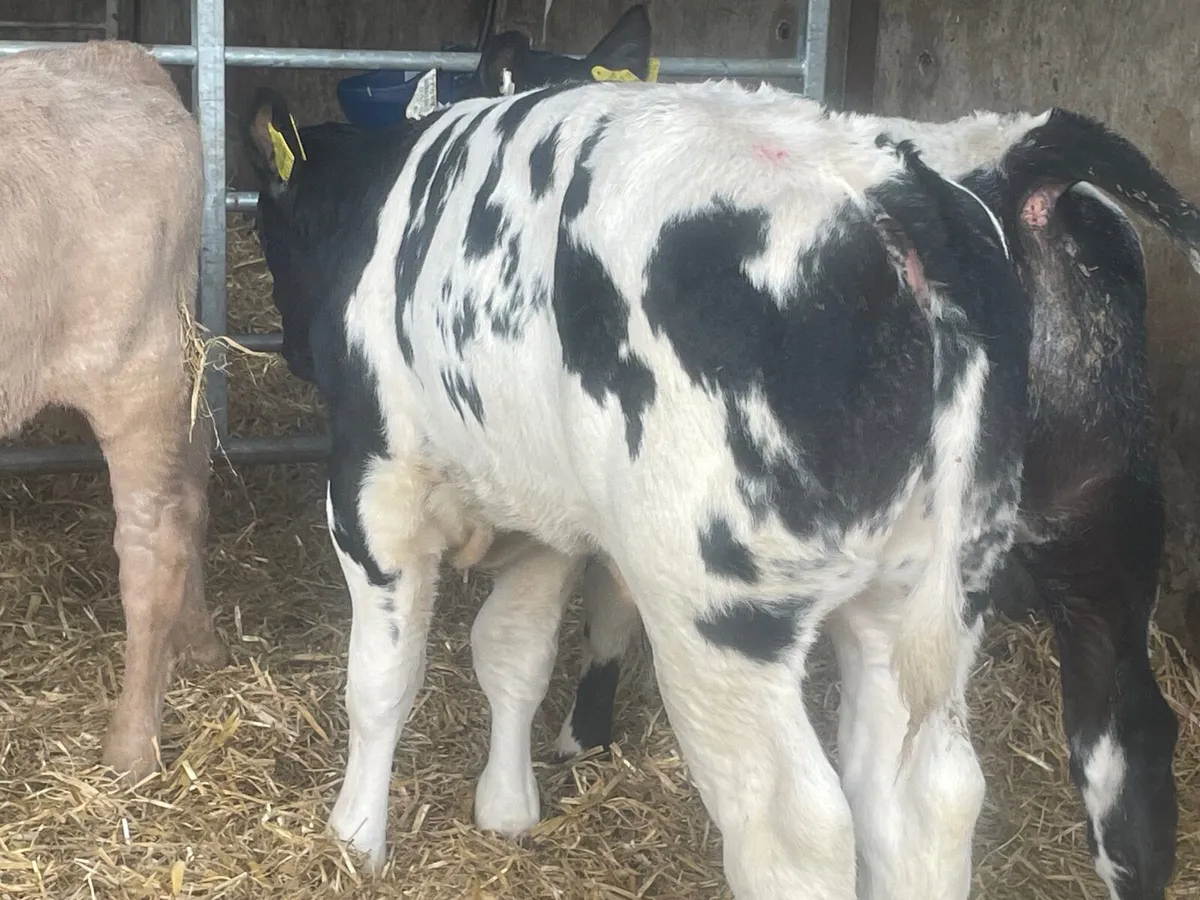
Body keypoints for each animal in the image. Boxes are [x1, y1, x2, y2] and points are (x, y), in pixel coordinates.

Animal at [0, 41, 224, 781]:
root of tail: (121, 58)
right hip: (180, 359)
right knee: (194, 483)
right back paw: (199, 645)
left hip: (134, 366)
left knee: (155, 541)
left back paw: (132, 749)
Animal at [242, 71, 1054, 898]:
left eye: (269, 231)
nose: (292, 349)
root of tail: (892, 192)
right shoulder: (543, 518)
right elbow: (513, 656)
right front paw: (507, 808)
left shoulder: (375, 492)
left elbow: (381, 681)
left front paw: (353, 837)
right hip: (927, 585)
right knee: (927, 792)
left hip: (716, 614)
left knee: (796, 829)